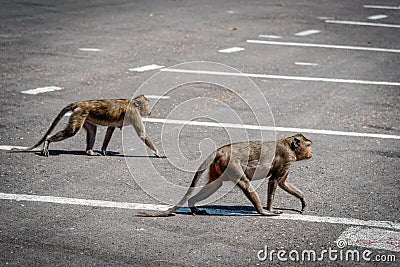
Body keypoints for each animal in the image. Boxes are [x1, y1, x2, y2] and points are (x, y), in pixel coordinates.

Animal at [11, 96, 164, 158]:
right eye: (147, 104)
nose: (150, 111)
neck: (133, 104)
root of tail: (80, 103)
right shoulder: (133, 113)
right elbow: (142, 134)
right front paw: (158, 153)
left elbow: (110, 130)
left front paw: (103, 150)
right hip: (80, 114)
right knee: (72, 131)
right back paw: (48, 141)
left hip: (85, 116)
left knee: (92, 130)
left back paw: (89, 152)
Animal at [141, 134, 312, 218]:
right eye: (308, 145)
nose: (311, 152)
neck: (289, 145)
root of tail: (220, 150)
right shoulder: (287, 158)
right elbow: (274, 181)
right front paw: (270, 209)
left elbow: (283, 183)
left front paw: (303, 201)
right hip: (232, 164)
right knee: (245, 183)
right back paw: (261, 211)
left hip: (219, 166)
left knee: (215, 185)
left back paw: (193, 205)